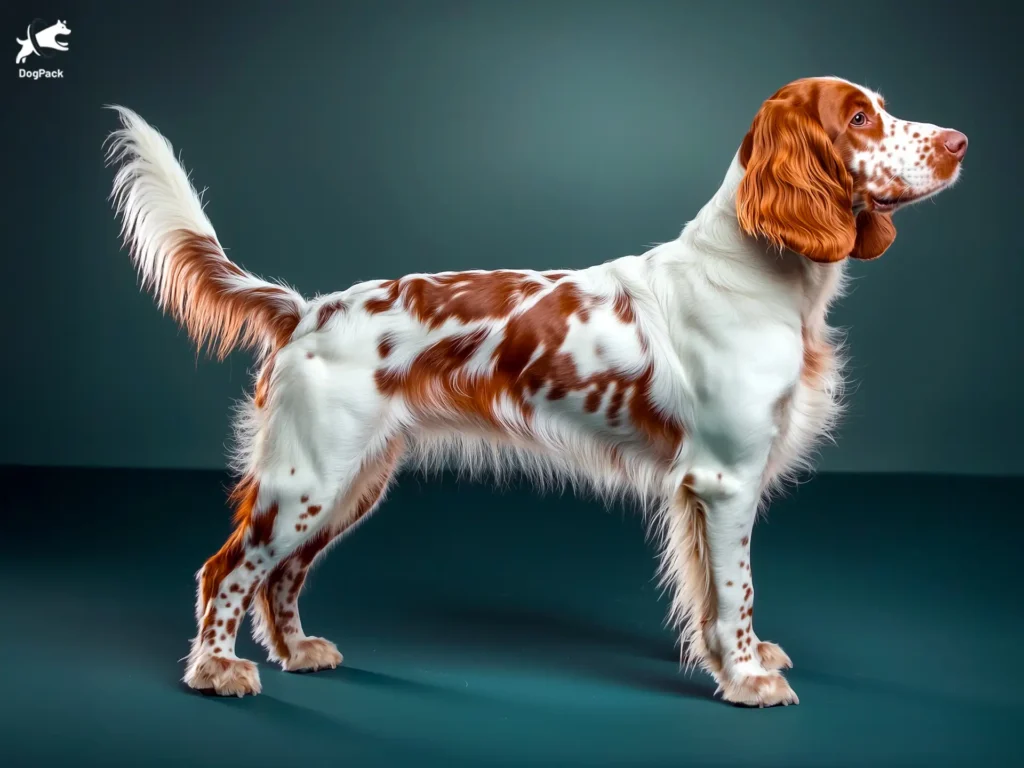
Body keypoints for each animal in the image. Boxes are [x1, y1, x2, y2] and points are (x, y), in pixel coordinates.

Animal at [105, 78, 966, 708]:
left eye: (881, 107)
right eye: (859, 117)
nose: (960, 142)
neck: (760, 269)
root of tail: (306, 308)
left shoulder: (703, 488)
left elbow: (712, 600)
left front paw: (737, 662)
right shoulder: (725, 479)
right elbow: (736, 589)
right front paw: (751, 679)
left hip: (353, 479)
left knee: (281, 574)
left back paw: (298, 652)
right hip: (307, 477)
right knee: (226, 570)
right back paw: (216, 670)